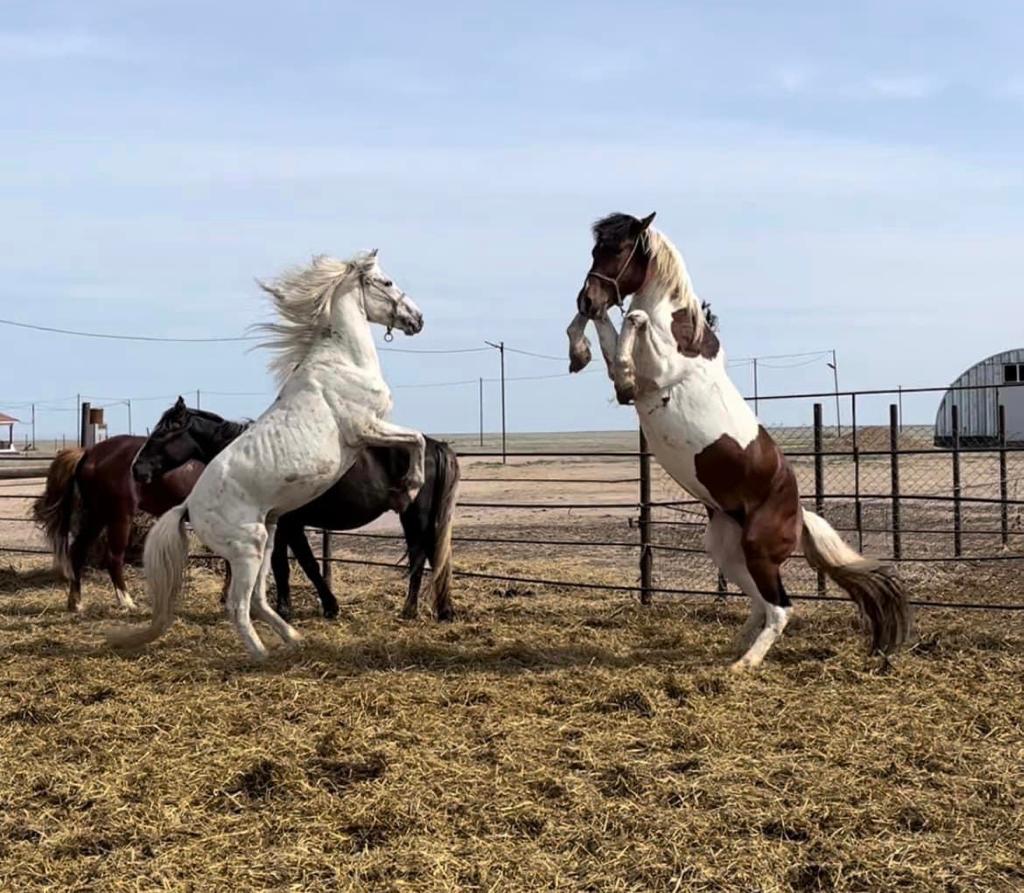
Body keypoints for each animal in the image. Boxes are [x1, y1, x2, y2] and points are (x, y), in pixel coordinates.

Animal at [30, 436, 205, 610]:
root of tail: (90, 453)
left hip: (97, 517)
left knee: (77, 552)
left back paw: (76, 602)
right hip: (119, 518)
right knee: (113, 559)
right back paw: (126, 602)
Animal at [113, 249, 428, 655]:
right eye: (386, 282)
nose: (417, 319)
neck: (342, 362)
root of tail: (187, 507)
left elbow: (416, 439)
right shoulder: (366, 428)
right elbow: (417, 439)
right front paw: (409, 488)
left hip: (269, 537)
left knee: (259, 600)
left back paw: (293, 639)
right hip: (250, 547)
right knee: (238, 605)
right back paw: (261, 654)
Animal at [569, 210, 913, 671]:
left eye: (619, 249)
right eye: (595, 249)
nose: (587, 298)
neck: (679, 331)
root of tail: (799, 513)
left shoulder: (656, 374)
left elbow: (630, 323)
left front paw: (610, 347)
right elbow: (605, 328)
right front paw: (578, 349)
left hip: (758, 551)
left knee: (781, 607)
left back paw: (745, 663)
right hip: (728, 552)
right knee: (760, 604)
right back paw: (736, 647)